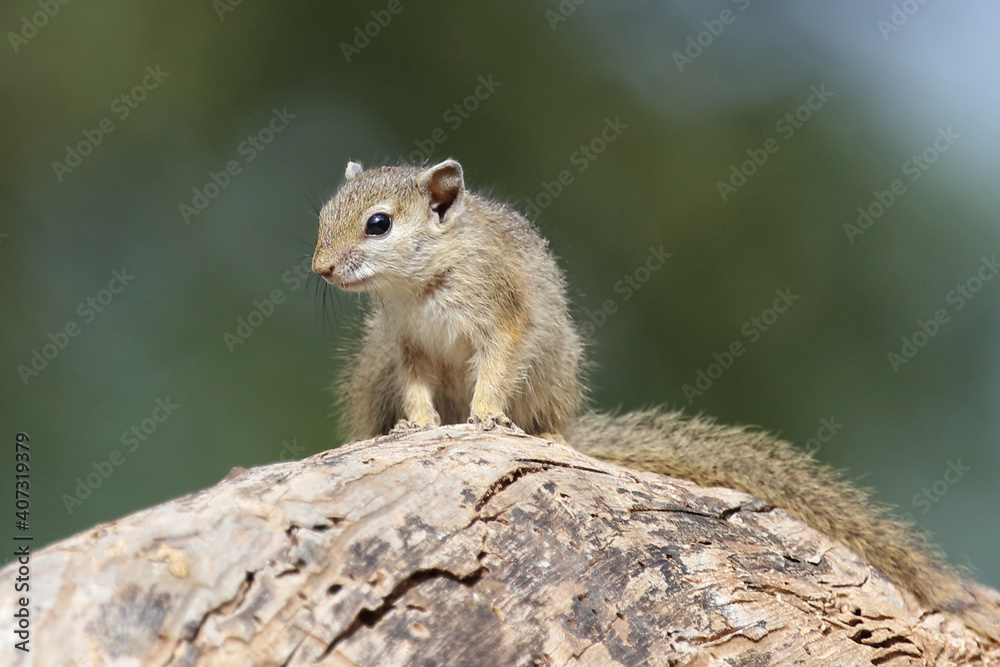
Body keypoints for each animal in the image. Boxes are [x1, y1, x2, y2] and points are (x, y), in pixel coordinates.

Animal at [312, 158, 1000, 639]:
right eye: (322, 215)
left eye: (379, 223)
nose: (319, 269)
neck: (421, 282)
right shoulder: (404, 349)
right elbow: (418, 392)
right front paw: (418, 427)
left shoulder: (500, 315)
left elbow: (498, 368)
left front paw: (483, 416)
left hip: (552, 368)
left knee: (546, 414)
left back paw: (548, 434)